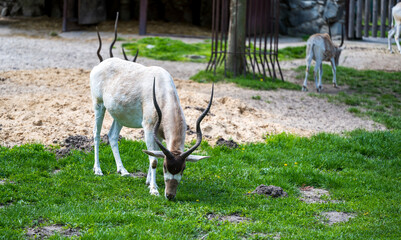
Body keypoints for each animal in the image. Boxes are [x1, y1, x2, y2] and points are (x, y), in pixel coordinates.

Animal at [90, 15, 212, 200]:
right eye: (165, 167)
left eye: (183, 169)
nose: (170, 195)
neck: (162, 90)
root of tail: (100, 65)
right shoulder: (148, 128)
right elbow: (153, 159)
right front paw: (154, 189)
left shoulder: (159, 133)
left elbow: (153, 153)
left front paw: (148, 181)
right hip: (99, 105)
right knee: (96, 134)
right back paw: (98, 170)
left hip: (120, 115)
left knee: (112, 136)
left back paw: (123, 170)